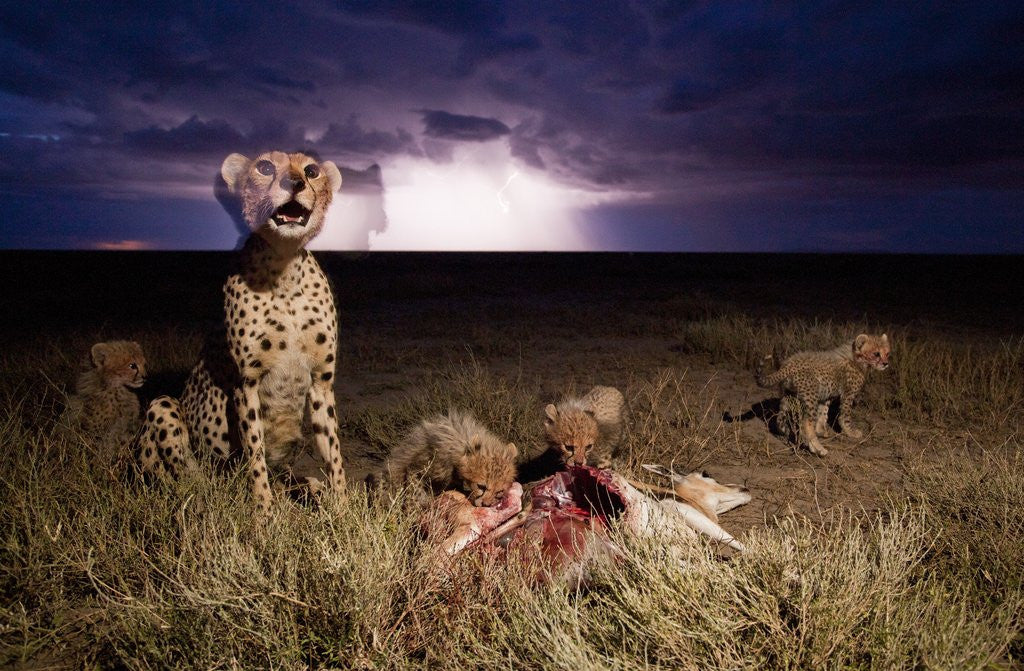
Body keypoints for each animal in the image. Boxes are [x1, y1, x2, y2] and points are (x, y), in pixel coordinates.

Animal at [136, 150, 346, 508]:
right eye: (264, 167)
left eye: (312, 171)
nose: (295, 183)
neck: (284, 271)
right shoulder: (245, 383)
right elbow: (254, 454)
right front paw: (264, 512)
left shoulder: (321, 380)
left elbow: (333, 452)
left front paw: (345, 507)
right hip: (164, 410)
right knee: (190, 476)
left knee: (285, 476)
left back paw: (308, 487)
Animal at [756, 333, 891, 456]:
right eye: (876, 354)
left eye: (887, 353)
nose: (886, 363)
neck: (856, 359)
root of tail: (789, 364)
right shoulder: (848, 394)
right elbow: (845, 416)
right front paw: (851, 432)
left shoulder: (827, 395)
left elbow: (823, 413)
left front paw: (821, 431)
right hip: (810, 396)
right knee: (806, 423)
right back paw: (818, 449)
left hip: (788, 394)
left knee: (780, 417)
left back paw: (786, 432)